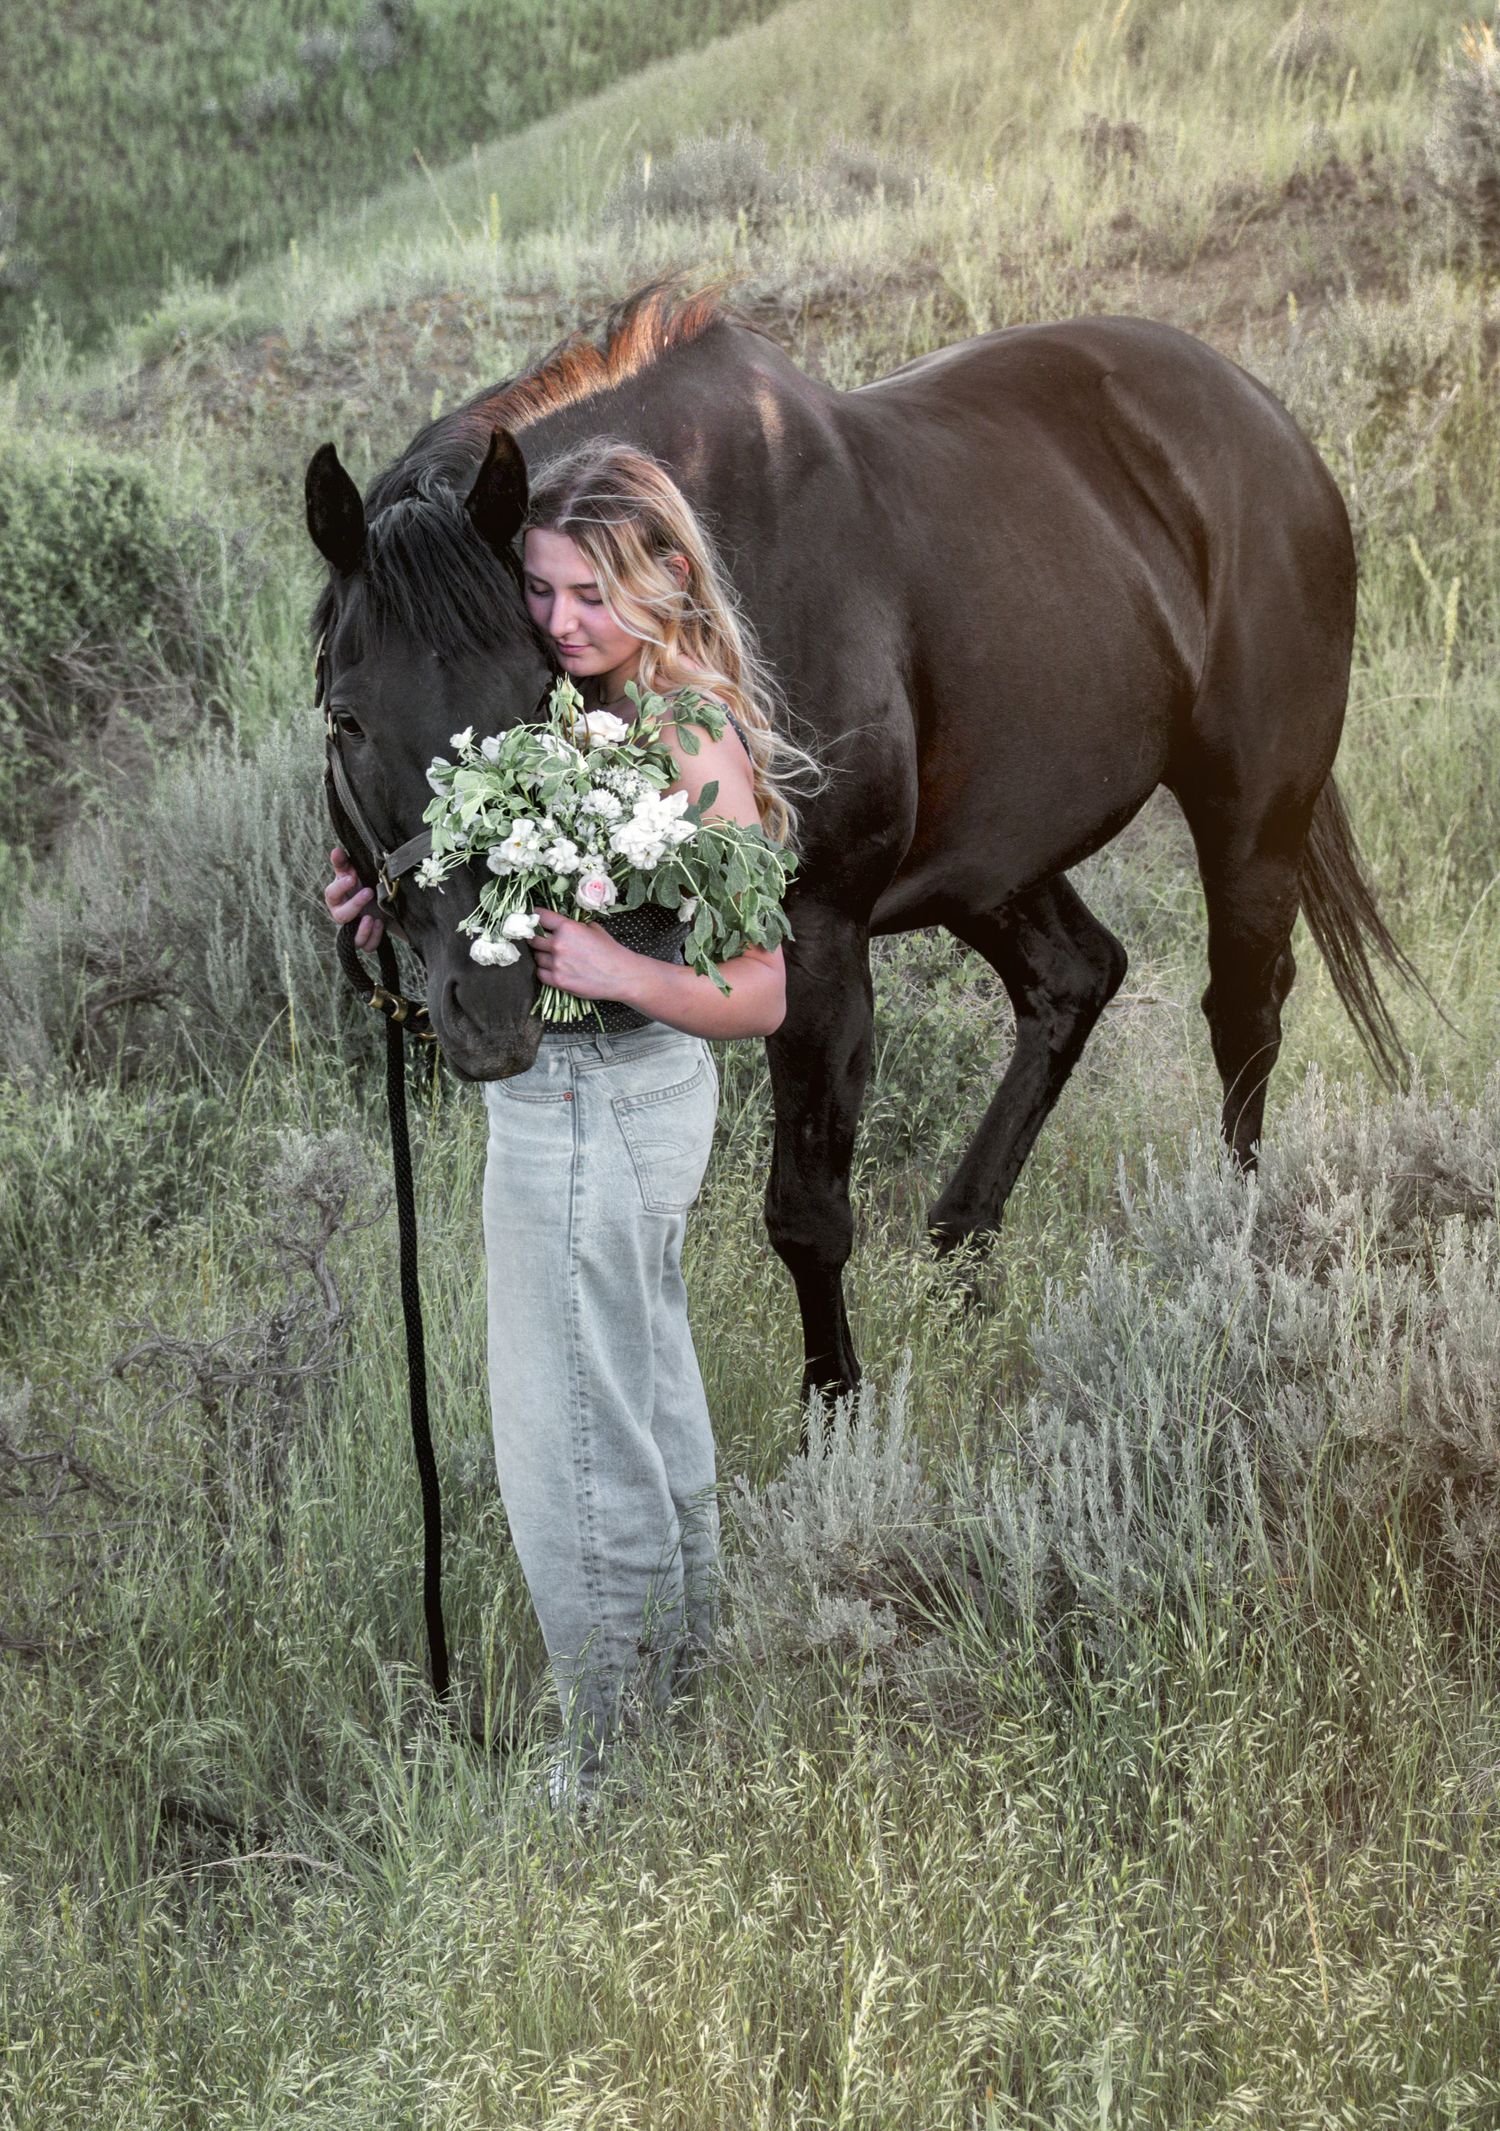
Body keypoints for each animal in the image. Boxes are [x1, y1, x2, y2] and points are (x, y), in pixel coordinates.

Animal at [306, 277, 1416, 1419]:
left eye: (545, 696)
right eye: (346, 718)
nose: (491, 1004)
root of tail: (1263, 419)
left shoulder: (819, 943)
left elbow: (807, 1215)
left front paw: (835, 1423)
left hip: (1252, 814)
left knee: (1243, 1012)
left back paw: (1229, 1245)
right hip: (995, 864)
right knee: (1077, 978)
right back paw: (962, 1258)